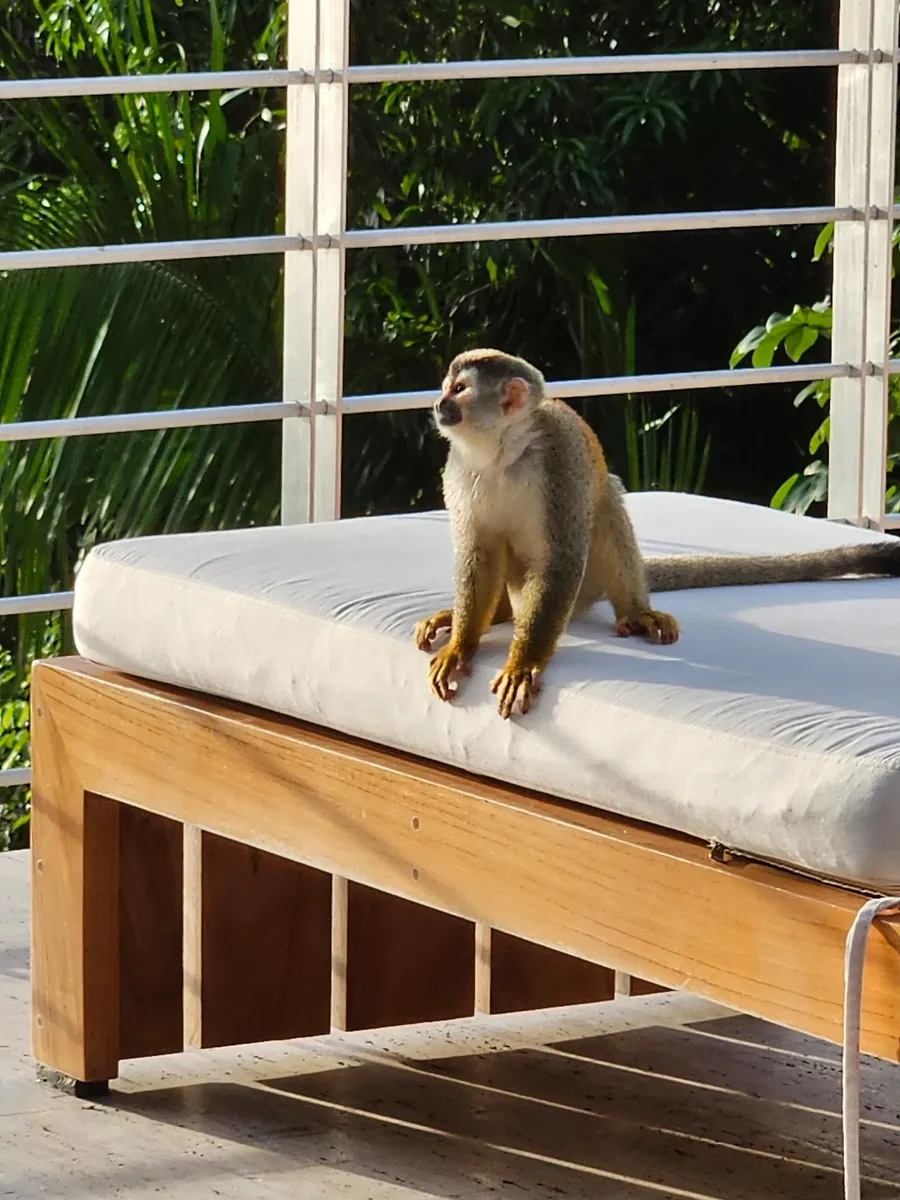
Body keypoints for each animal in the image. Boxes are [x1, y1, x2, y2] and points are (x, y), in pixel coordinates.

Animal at [413, 348, 900, 720]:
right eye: (446, 387)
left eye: (459, 390)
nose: (439, 404)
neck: (502, 449)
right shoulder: (459, 468)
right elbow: (478, 553)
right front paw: (462, 645)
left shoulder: (559, 457)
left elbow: (561, 560)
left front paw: (523, 661)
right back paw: (485, 616)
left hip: (587, 579)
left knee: (606, 502)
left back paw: (634, 611)